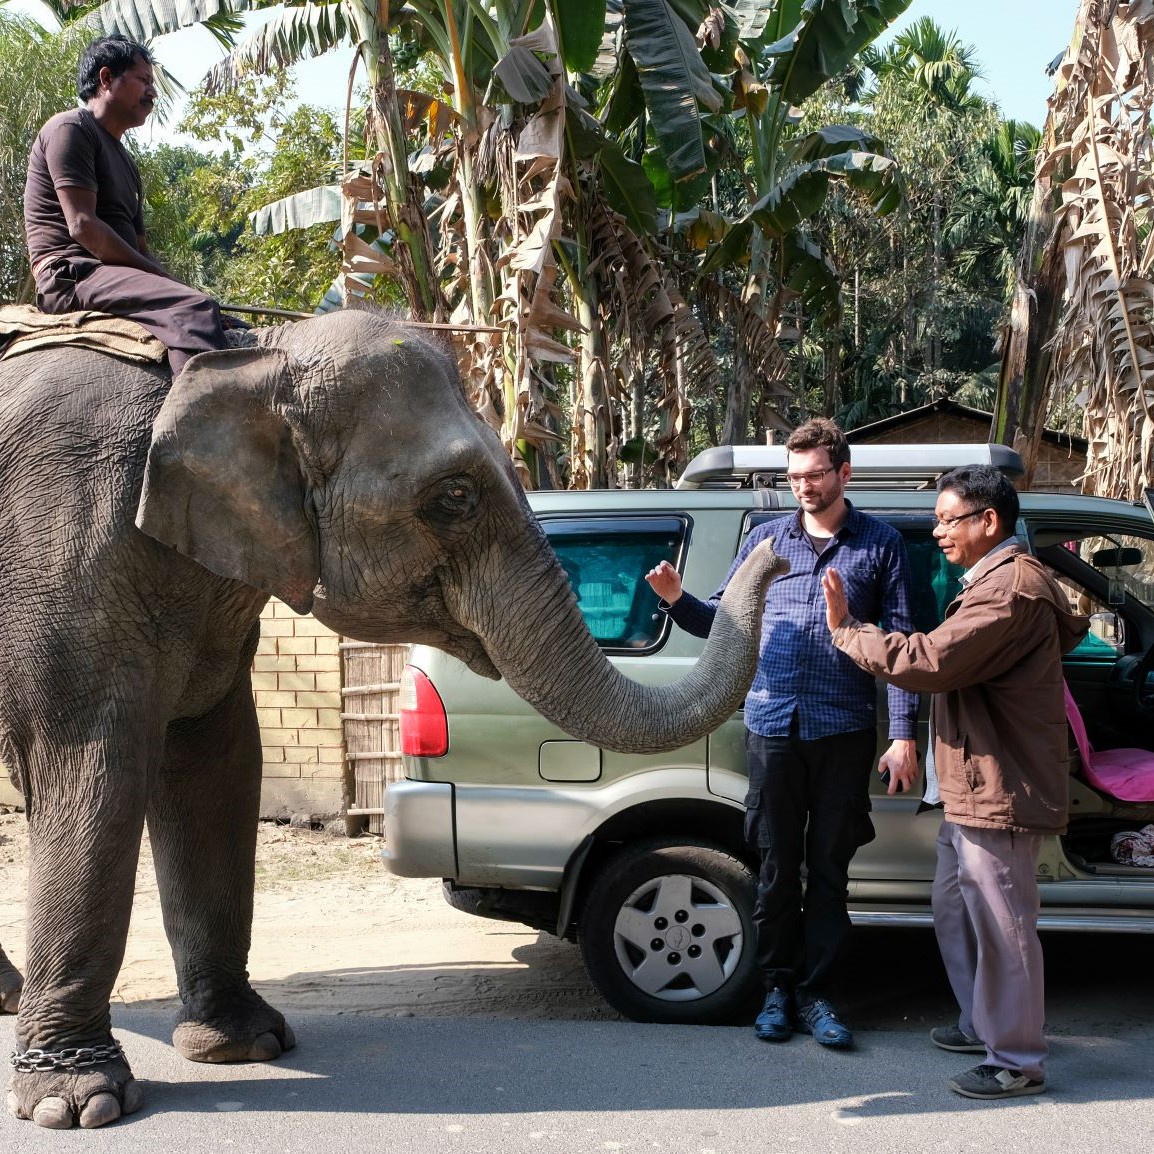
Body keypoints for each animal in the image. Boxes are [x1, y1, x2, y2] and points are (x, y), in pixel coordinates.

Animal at [0, 306, 784, 1126]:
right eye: (455, 495)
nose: (780, 551)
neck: (247, 359)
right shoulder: (64, 544)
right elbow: (92, 768)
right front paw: (79, 1104)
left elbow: (218, 766)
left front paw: (245, 1045)